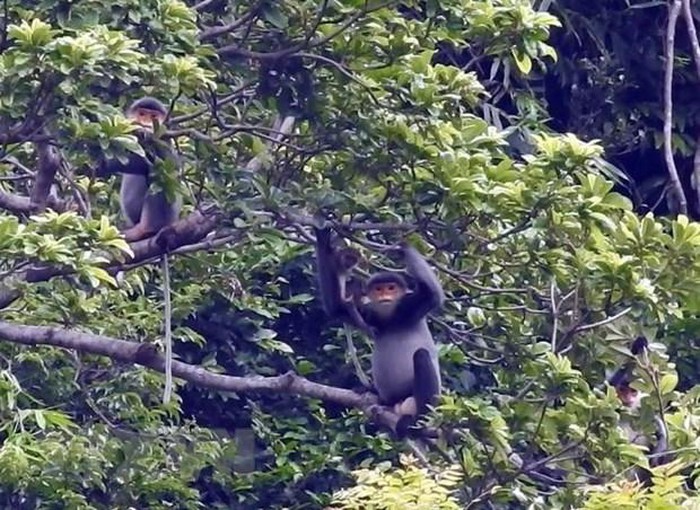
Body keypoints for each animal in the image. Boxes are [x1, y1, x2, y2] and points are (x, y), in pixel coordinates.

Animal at [99, 96, 182, 406]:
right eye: (142, 113)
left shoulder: (165, 140)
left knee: (155, 177)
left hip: (165, 212)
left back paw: (144, 230)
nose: (146, 122)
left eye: (153, 117)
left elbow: (167, 164)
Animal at [316, 226, 446, 438]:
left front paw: (402, 247)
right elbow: (338, 309)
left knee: (421, 356)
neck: (390, 317)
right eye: (379, 289)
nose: (385, 295)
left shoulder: (412, 305)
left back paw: (417, 422)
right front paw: (322, 237)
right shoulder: (370, 314)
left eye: (391, 288)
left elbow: (433, 294)